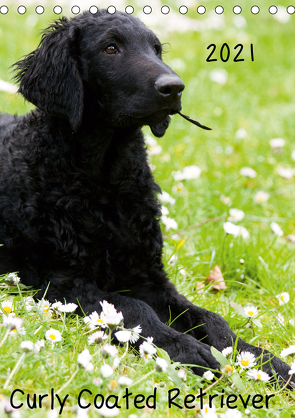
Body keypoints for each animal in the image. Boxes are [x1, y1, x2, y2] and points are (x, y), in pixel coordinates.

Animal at [0, 9, 294, 382]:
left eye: (156, 49)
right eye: (111, 48)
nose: (174, 87)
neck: (105, 184)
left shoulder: (150, 279)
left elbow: (209, 318)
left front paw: (260, 359)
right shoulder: (64, 282)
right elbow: (133, 308)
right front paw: (187, 350)